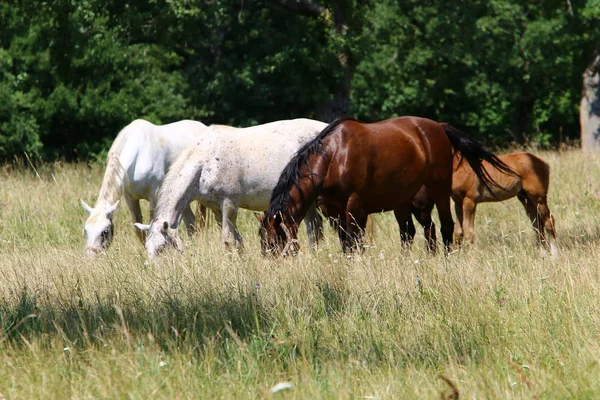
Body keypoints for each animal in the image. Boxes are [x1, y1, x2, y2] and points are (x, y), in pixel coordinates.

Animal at [81, 119, 209, 256]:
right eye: (86, 230)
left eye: (104, 232)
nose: (90, 256)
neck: (139, 155)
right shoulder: (130, 198)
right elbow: (139, 230)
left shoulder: (154, 197)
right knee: (191, 223)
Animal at [135, 117, 328, 258]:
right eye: (147, 248)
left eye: (161, 248)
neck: (205, 163)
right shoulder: (216, 208)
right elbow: (236, 238)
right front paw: (241, 259)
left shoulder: (229, 204)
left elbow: (227, 238)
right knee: (314, 223)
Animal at [258, 115, 516, 256]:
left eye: (274, 240)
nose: (273, 264)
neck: (334, 157)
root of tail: (439, 127)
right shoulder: (333, 210)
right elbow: (345, 243)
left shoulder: (355, 207)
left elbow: (355, 241)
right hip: (405, 202)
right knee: (412, 232)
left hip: (439, 191)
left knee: (446, 226)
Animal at [406, 150, 556, 253]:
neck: (459, 167)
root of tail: (543, 163)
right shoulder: (458, 203)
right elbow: (458, 232)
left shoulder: (470, 201)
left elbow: (468, 232)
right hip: (525, 199)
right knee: (537, 224)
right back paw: (542, 251)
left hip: (538, 198)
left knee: (549, 221)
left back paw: (553, 253)